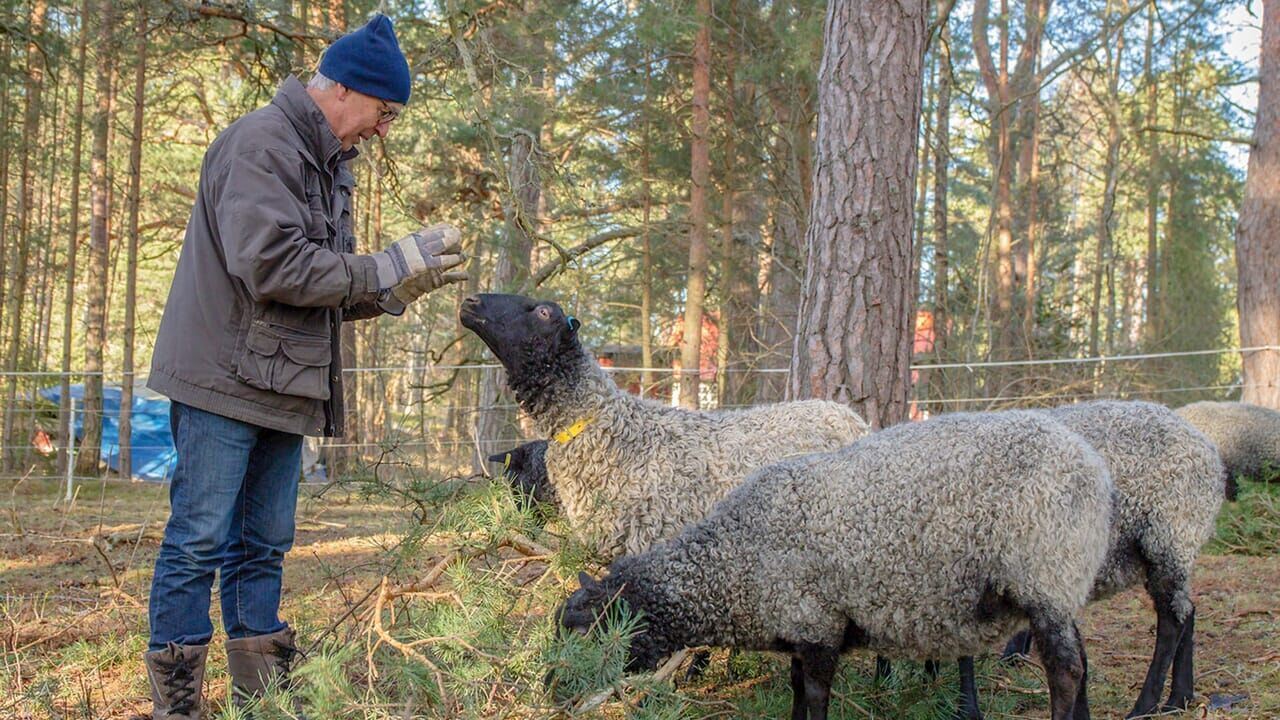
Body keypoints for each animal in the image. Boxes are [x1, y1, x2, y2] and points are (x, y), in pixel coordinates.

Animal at [558, 409, 1111, 717]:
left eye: (592, 631)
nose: (555, 688)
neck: (738, 560)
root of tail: (1093, 466)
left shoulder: (819, 625)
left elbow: (816, 697)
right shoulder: (799, 627)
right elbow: (797, 694)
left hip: (1045, 572)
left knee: (1065, 671)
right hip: (1060, 582)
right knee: (1079, 662)